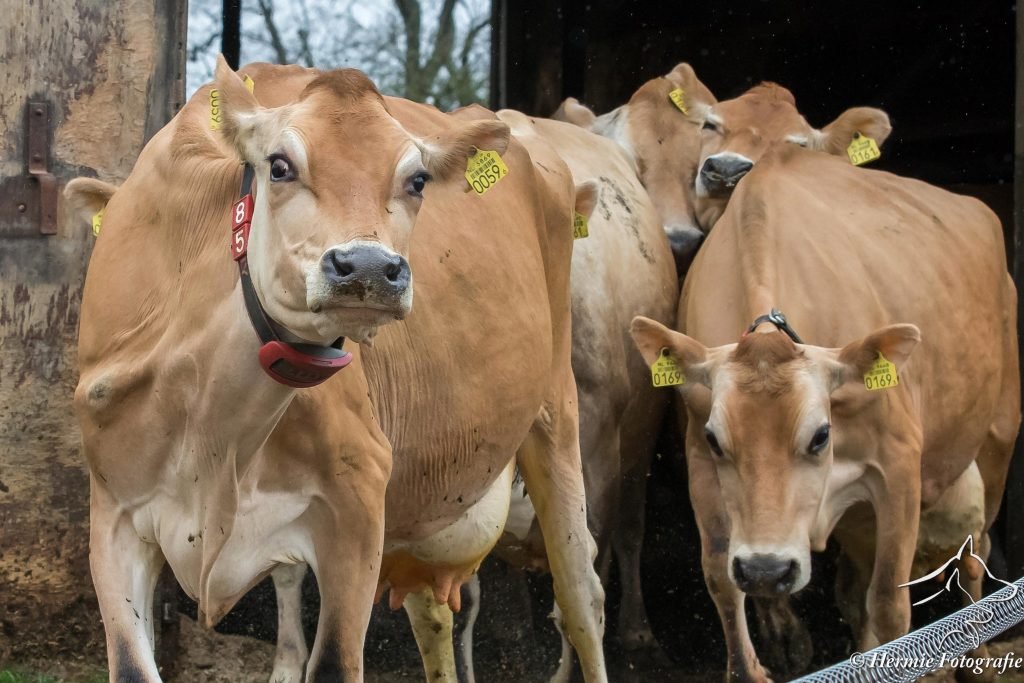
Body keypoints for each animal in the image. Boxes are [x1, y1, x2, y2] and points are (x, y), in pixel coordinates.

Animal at [69, 56, 606, 682]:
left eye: (417, 180)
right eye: (279, 165)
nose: (369, 268)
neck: (210, 426)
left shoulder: (356, 503)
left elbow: (333, 663)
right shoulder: (113, 516)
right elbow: (133, 664)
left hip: (555, 412)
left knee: (581, 595)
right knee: (432, 615)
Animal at [630, 145, 1019, 682]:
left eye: (820, 436)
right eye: (715, 439)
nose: (767, 570)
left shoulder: (898, 466)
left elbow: (890, 603)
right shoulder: (701, 469)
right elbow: (722, 582)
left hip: (998, 438)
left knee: (975, 554)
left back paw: (978, 655)